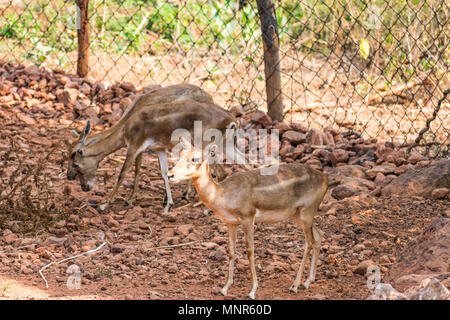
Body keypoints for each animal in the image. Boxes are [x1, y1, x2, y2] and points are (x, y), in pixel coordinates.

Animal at [67, 84, 241, 212]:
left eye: (74, 159)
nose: (83, 186)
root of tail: (231, 120)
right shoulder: (155, 148)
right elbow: (161, 172)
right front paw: (164, 203)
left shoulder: (134, 147)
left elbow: (125, 172)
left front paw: (107, 204)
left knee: (220, 172)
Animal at [168, 138, 326, 300]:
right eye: (181, 154)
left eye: (195, 158)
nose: (170, 174)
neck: (222, 194)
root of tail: (324, 178)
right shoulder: (230, 223)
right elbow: (231, 251)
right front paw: (224, 288)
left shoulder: (248, 218)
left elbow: (250, 250)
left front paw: (252, 291)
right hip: (298, 215)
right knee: (319, 236)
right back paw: (307, 281)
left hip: (307, 212)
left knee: (309, 242)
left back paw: (294, 286)